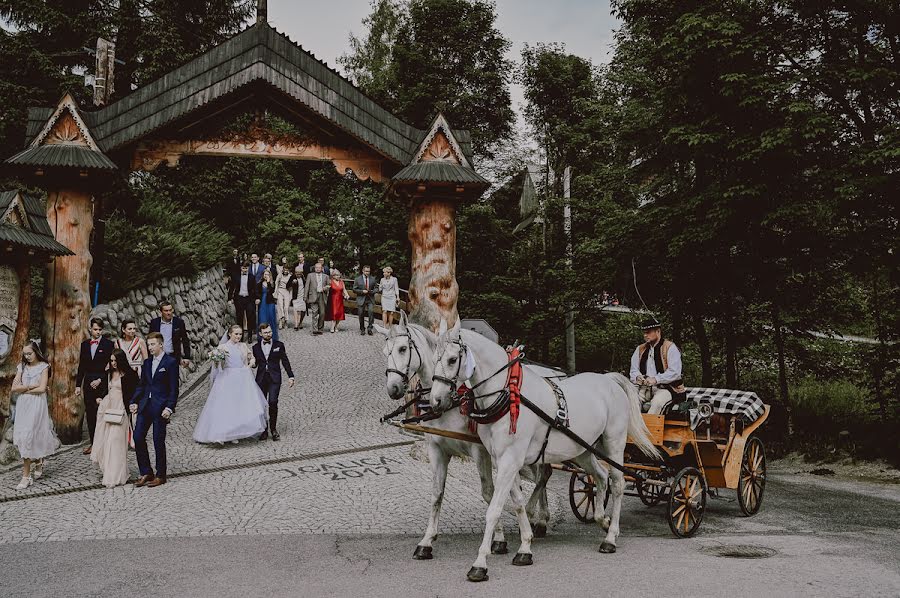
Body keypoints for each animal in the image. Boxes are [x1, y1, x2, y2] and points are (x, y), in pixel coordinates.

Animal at [376, 314, 552, 564]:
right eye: (385, 351)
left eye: (402, 348)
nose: (392, 389)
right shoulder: (437, 449)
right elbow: (437, 493)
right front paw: (427, 541)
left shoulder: (480, 452)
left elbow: (488, 492)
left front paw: (499, 540)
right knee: (543, 474)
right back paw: (541, 518)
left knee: (542, 475)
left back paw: (534, 516)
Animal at [428, 326, 660, 584]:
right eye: (434, 358)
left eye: (452, 359)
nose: (435, 400)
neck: (510, 393)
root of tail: (608, 379)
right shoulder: (502, 460)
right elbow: (518, 503)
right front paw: (525, 546)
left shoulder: (510, 460)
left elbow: (495, 509)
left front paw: (480, 563)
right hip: (583, 448)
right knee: (600, 476)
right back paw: (602, 519)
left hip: (614, 444)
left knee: (617, 484)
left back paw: (611, 536)